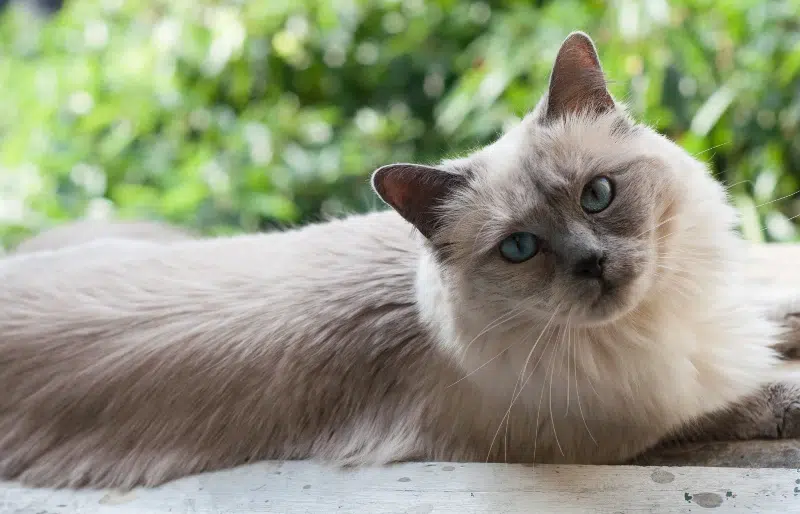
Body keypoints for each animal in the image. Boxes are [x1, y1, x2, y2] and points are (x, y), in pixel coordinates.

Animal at [1, 32, 800, 488]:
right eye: (520, 248)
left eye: (597, 195)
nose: (594, 266)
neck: (652, 325)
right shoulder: (625, 420)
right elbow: (743, 396)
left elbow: (769, 315)